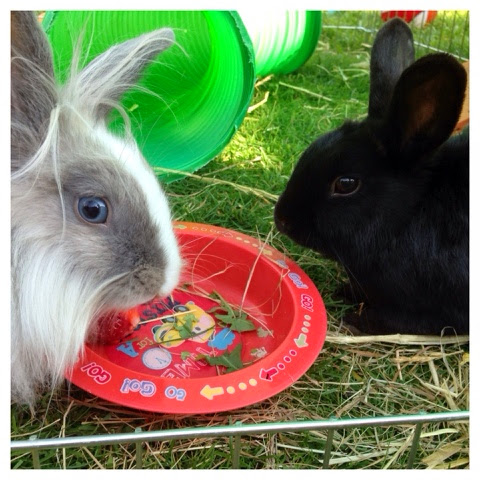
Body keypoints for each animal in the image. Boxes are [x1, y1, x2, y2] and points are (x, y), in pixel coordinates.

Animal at [274, 18, 469, 336]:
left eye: (346, 184)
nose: (282, 219)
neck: (410, 218)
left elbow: (402, 320)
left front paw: (355, 319)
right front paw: (343, 292)